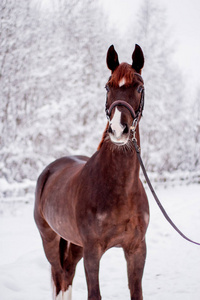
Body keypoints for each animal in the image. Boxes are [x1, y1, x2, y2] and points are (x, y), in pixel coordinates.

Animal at [34, 44, 149, 300]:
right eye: (108, 86)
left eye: (139, 87)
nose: (118, 130)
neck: (120, 188)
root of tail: (49, 170)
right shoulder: (92, 252)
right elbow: (94, 294)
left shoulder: (136, 249)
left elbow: (137, 292)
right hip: (50, 240)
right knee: (60, 277)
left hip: (74, 245)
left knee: (67, 274)